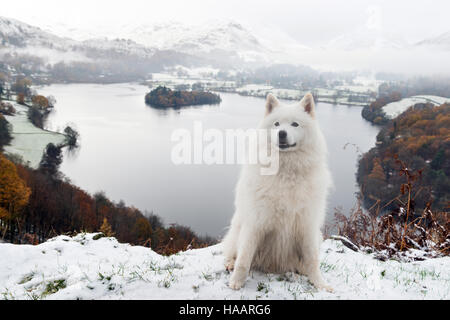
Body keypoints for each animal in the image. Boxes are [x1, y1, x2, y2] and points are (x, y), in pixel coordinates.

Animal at [222, 92, 334, 292]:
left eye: (295, 124)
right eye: (276, 124)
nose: (282, 133)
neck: (285, 170)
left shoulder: (306, 225)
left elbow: (313, 260)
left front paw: (320, 284)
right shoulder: (255, 223)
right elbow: (244, 258)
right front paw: (236, 282)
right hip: (237, 229)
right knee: (232, 251)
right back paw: (229, 264)